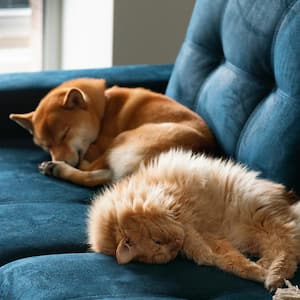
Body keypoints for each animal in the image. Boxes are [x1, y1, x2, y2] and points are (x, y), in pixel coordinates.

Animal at [9, 79, 216, 188]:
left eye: (65, 134)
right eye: (46, 145)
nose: (62, 159)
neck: (103, 109)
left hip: (123, 139)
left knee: (91, 171)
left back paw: (61, 167)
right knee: (96, 178)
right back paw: (57, 169)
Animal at [87, 149, 300, 290]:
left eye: (157, 241)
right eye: (164, 252)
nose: (175, 246)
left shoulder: (182, 213)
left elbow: (201, 245)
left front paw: (257, 272)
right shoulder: (205, 235)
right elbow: (224, 259)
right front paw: (251, 270)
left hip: (262, 217)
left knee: (288, 247)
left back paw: (273, 277)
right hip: (258, 230)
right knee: (282, 249)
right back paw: (267, 269)